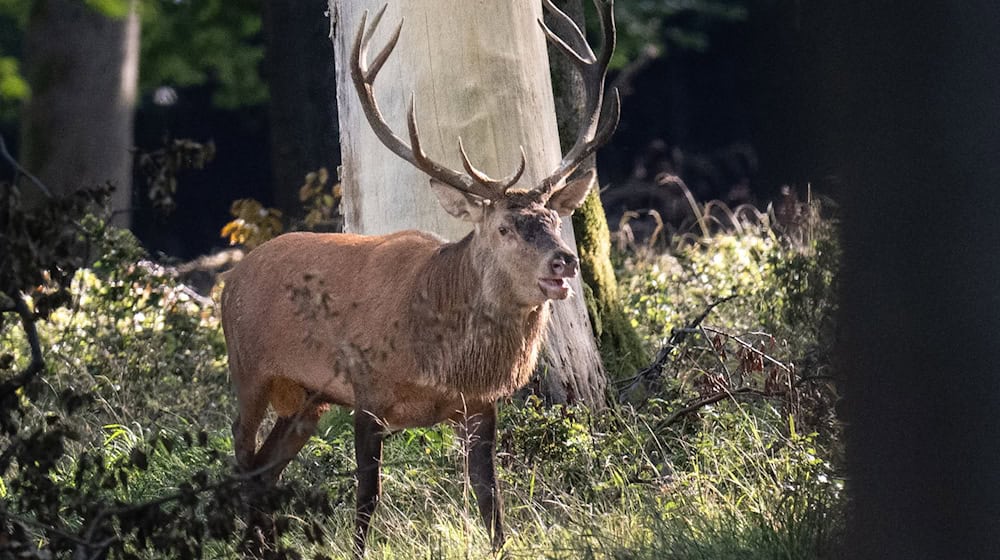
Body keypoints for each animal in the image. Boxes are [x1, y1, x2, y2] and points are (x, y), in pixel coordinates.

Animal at [221, 0, 616, 556]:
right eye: (502, 228)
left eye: (554, 221)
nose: (564, 261)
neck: (440, 359)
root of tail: (231, 278)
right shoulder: (366, 390)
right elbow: (368, 495)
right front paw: (358, 549)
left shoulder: (479, 405)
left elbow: (489, 496)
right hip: (249, 370)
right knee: (241, 452)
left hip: (307, 399)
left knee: (264, 470)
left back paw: (259, 545)